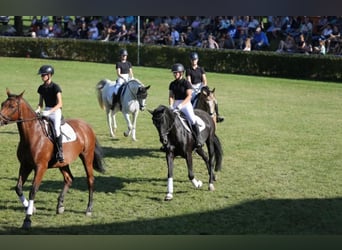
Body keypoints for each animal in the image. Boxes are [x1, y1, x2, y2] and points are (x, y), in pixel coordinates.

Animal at [0, 89, 105, 229]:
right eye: (2, 104)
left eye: (11, 106)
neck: (32, 134)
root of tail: (86, 126)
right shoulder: (25, 165)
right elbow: (18, 188)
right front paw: (30, 208)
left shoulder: (40, 167)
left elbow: (33, 190)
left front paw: (27, 219)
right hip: (63, 162)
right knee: (69, 178)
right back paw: (60, 206)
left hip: (87, 157)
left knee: (90, 180)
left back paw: (88, 209)